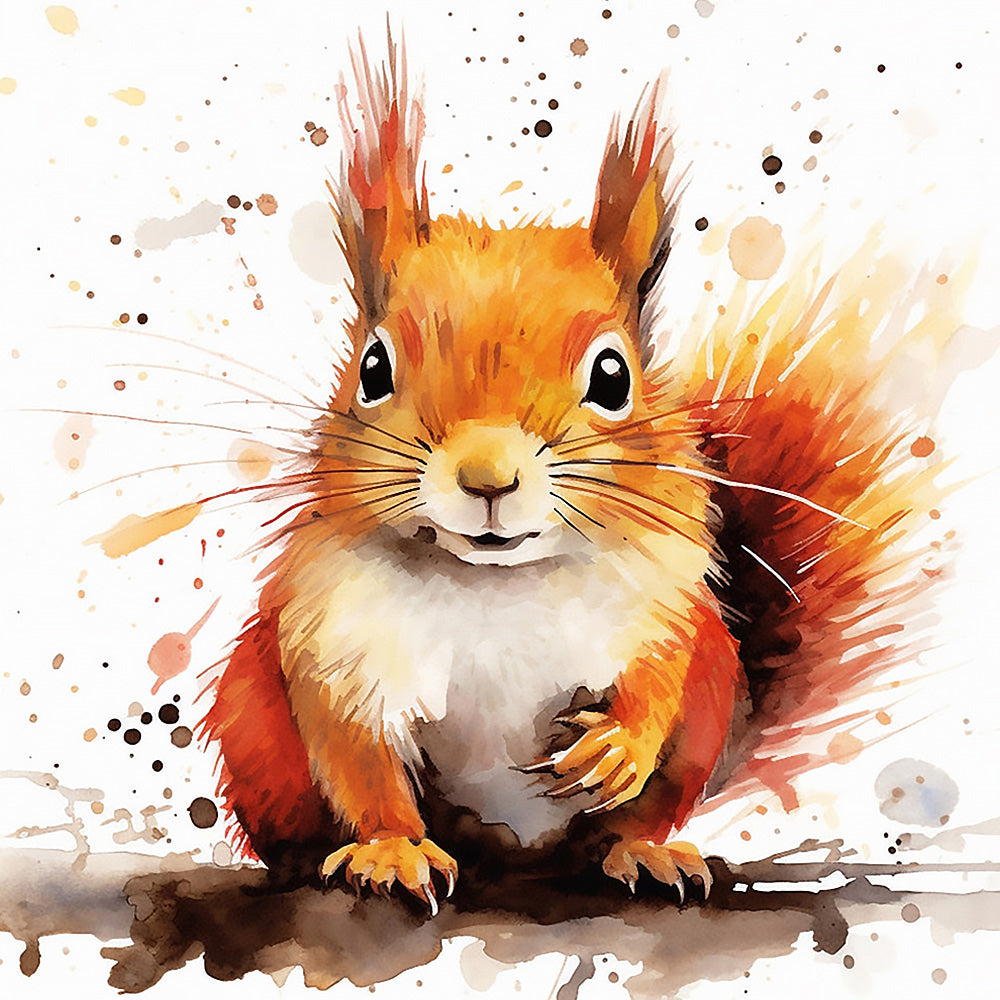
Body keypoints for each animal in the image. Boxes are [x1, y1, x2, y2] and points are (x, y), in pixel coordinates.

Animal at [198, 34, 944, 913]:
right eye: (372, 369)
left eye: (614, 377)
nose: (487, 475)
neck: (495, 587)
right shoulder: (338, 642)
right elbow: (358, 759)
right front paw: (392, 850)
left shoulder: (664, 607)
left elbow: (658, 678)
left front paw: (618, 747)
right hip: (251, 718)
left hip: (712, 695)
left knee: (636, 814)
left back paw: (642, 852)